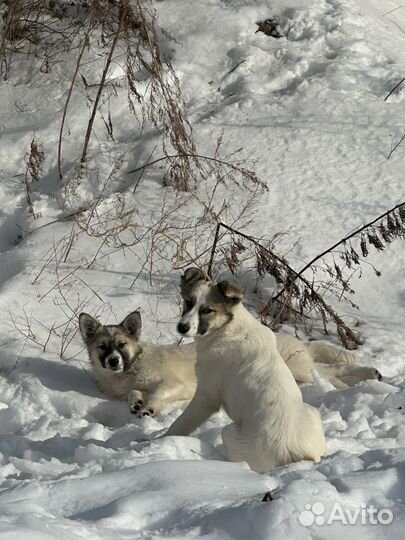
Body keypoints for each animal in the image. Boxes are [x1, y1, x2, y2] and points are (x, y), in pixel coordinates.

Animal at [166, 270, 326, 472]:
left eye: (207, 310)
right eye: (188, 302)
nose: (182, 327)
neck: (226, 328)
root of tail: (295, 456)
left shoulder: (207, 396)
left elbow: (180, 424)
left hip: (229, 432)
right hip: (312, 413)